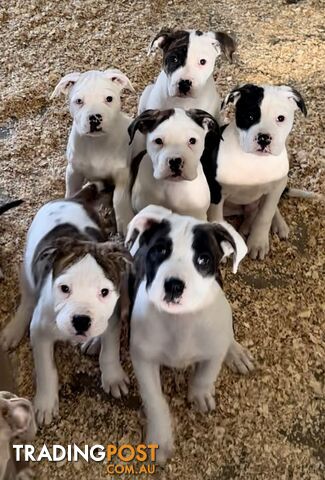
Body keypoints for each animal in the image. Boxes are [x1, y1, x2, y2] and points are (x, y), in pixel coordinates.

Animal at [0, 186, 130, 426]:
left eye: (104, 292)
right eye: (64, 288)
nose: (81, 320)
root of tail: (74, 198)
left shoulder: (112, 320)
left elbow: (109, 351)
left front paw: (113, 376)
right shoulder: (40, 333)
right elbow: (46, 369)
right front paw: (45, 403)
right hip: (27, 268)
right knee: (28, 300)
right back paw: (13, 330)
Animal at [51, 68, 137, 233]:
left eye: (109, 99)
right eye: (79, 101)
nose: (95, 118)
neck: (97, 143)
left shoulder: (123, 173)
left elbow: (119, 196)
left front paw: (124, 220)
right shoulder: (73, 171)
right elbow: (71, 191)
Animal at [125, 204, 254, 464]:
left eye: (203, 259)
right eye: (160, 251)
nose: (174, 285)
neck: (181, 321)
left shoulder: (213, 350)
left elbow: (206, 374)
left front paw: (199, 393)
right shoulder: (143, 358)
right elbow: (155, 400)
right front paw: (160, 438)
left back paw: (235, 352)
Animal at [205, 84, 306, 260]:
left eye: (280, 118)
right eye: (250, 116)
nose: (264, 138)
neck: (255, 161)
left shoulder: (275, 188)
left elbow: (265, 215)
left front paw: (258, 243)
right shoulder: (216, 192)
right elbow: (217, 219)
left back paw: (278, 225)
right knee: (249, 211)